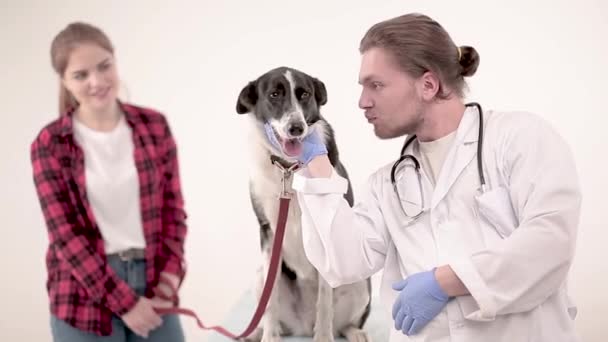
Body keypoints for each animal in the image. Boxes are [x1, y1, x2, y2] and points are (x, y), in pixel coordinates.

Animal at [236, 67, 372, 342]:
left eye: (305, 94)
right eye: (274, 94)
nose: (296, 128)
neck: (290, 169)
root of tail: (303, 327)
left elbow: (325, 302)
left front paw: (324, 338)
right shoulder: (267, 231)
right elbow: (271, 300)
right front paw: (269, 337)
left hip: (360, 282)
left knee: (341, 323)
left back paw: (353, 332)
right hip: (260, 275)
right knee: (274, 313)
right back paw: (258, 332)